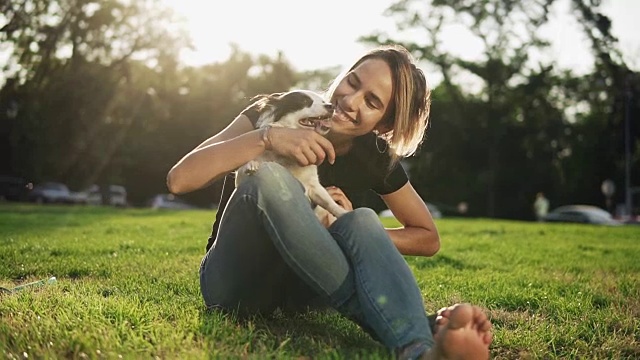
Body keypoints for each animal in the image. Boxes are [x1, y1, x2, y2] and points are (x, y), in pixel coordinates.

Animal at [235, 90, 348, 219]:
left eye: (323, 101)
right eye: (305, 101)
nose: (331, 106)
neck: (289, 159)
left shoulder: (314, 187)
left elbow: (329, 203)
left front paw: (343, 212)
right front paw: (250, 164)